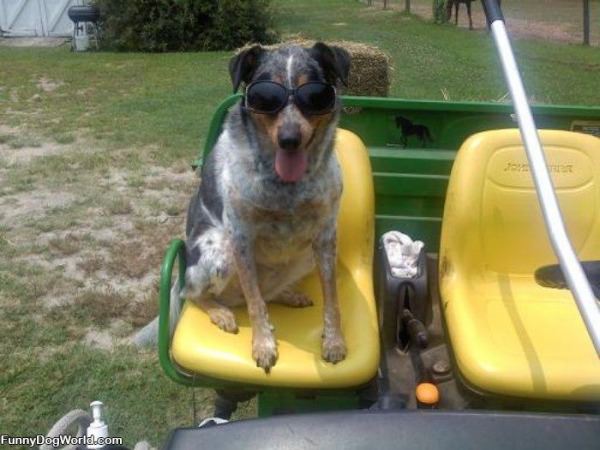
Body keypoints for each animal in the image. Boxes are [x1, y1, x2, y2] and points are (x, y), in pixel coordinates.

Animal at [183, 43, 352, 372]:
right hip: (220, 250)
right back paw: (221, 313)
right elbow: (255, 302)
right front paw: (263, 345)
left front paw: (334, 341)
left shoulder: (326, 235)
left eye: (315, 94)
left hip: (305, 257)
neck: (285, 187)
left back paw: (289, 295)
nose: (289, 140)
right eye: (264, 96)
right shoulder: (240, 237)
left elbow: (333, 297)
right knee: (196, 293)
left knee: (267, 292)